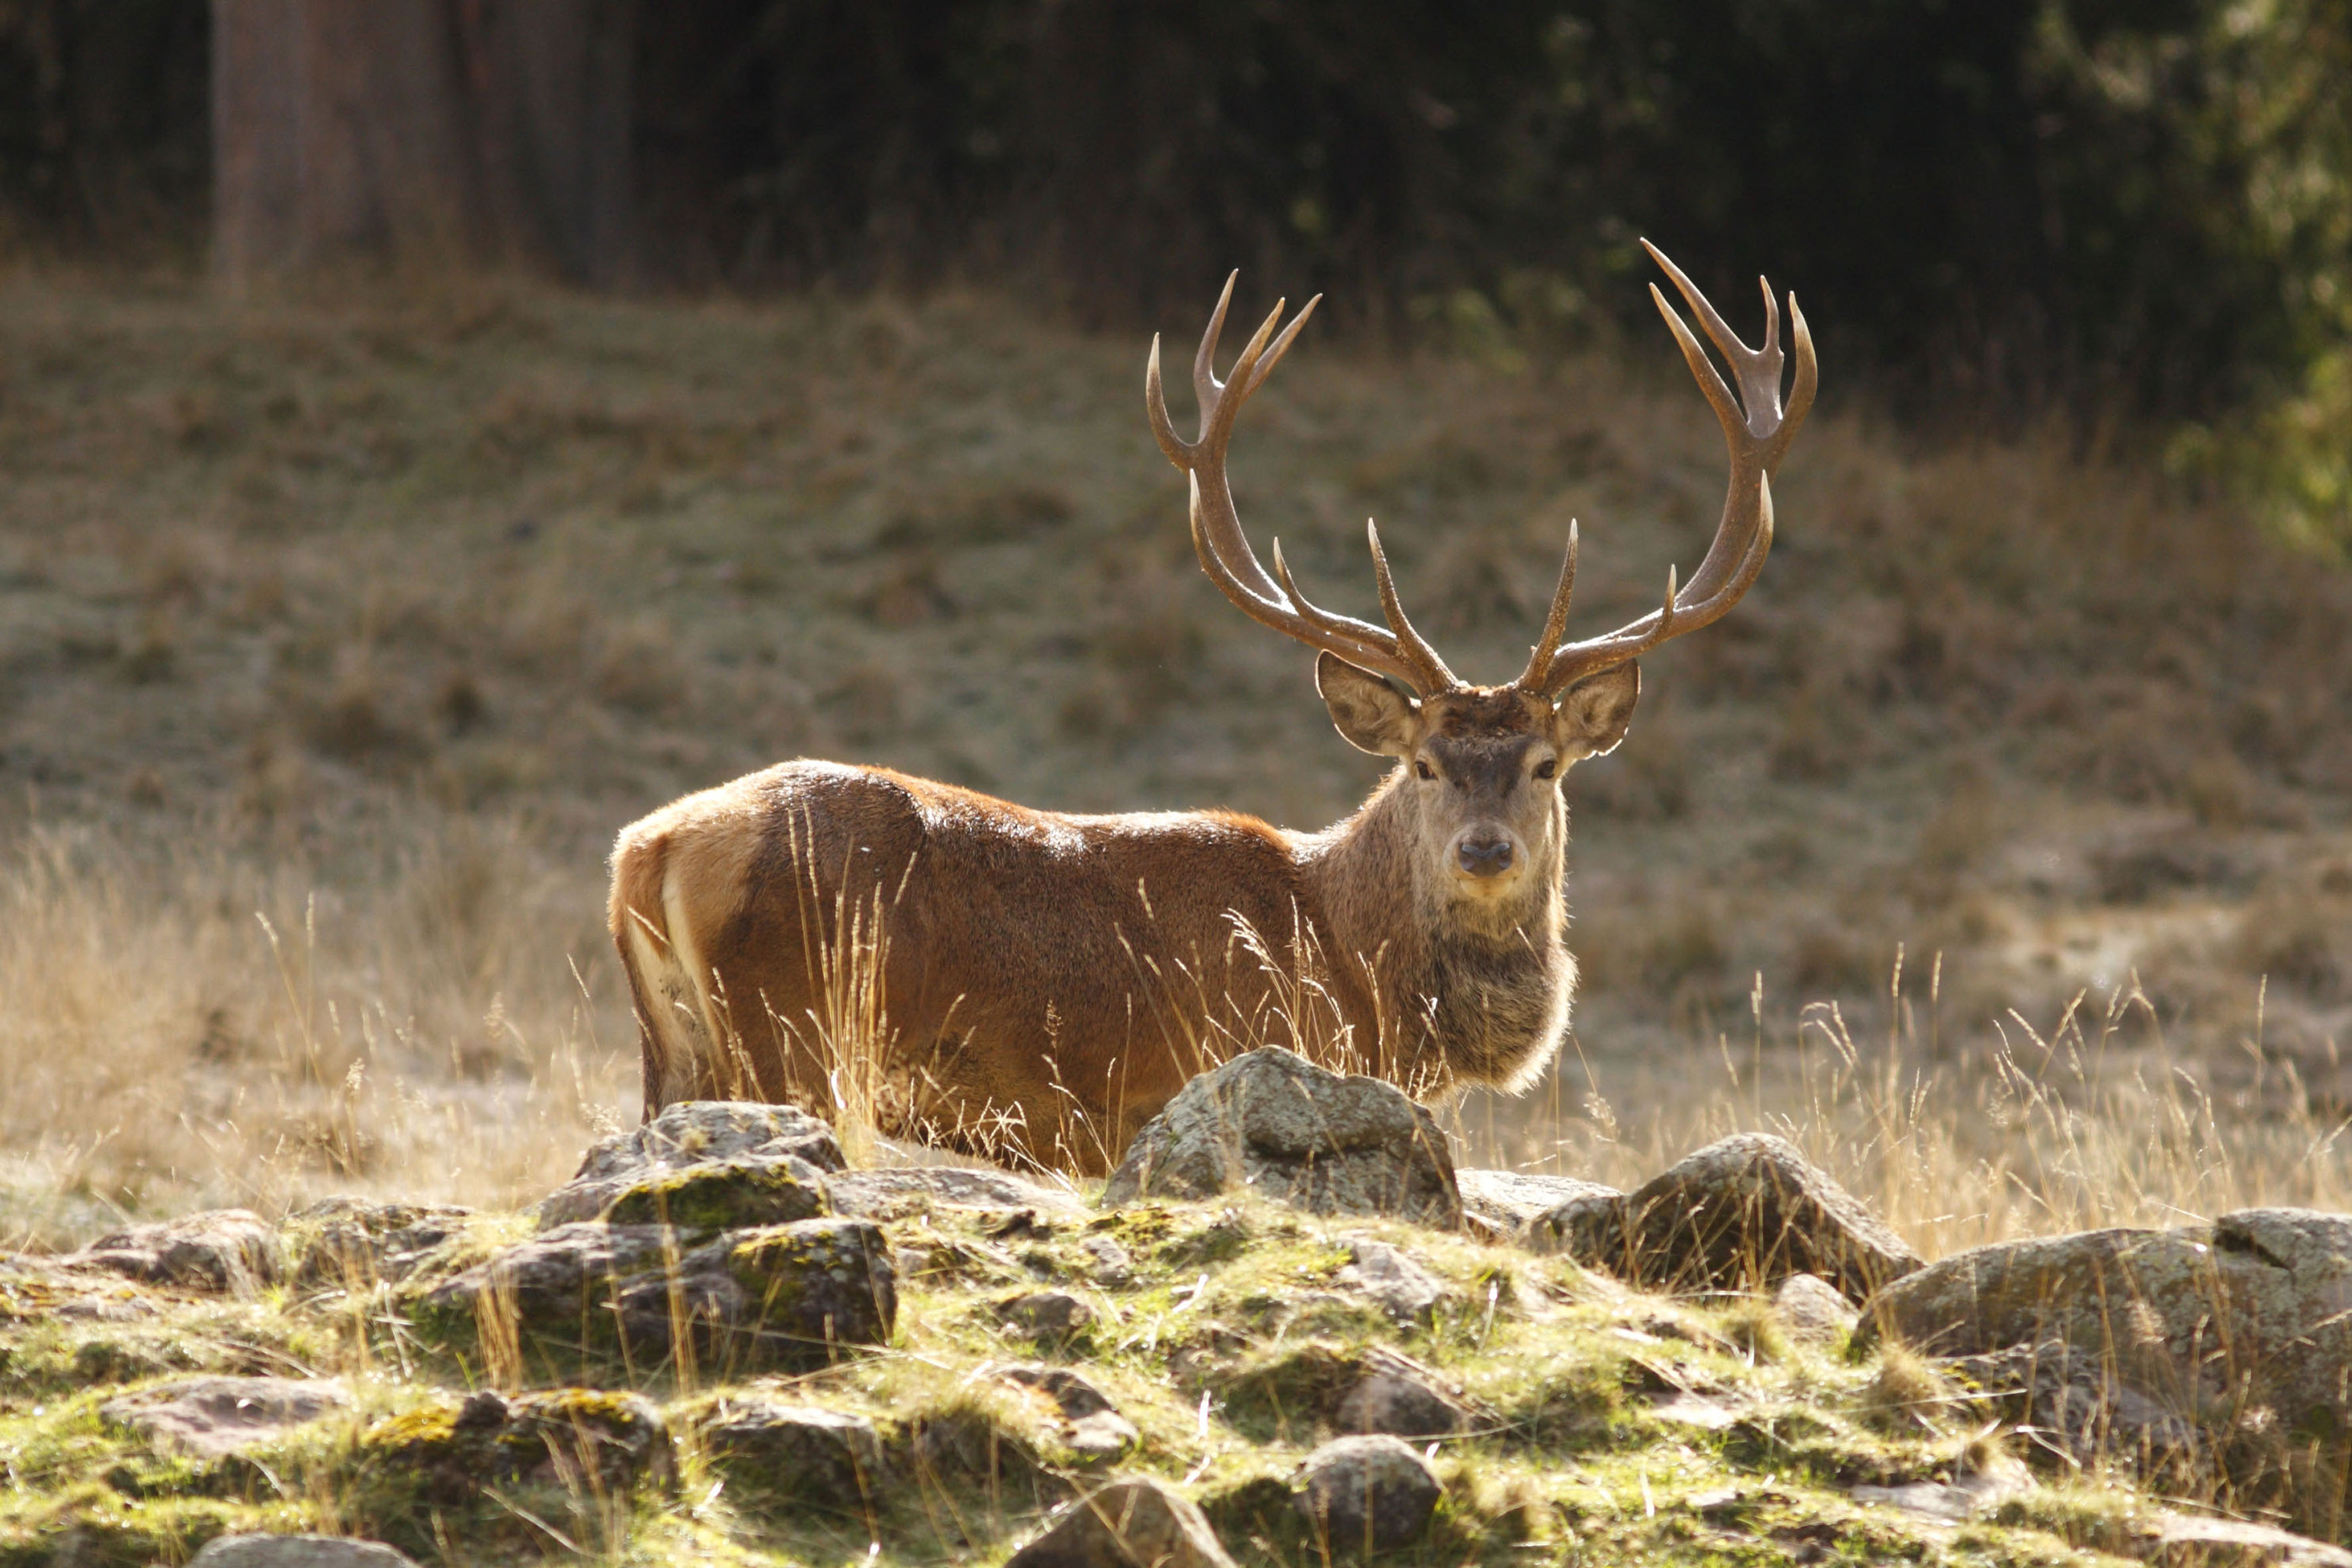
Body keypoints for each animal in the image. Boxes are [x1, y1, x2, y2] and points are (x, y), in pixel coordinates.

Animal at [607, 241, 1814, 1175]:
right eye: (1423, 763)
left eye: (1544, 764)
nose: (1483, 849)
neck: (1356, 971)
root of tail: (648, 846)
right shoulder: (1230, 1074)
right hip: (792, 1032)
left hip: (678, 1048)